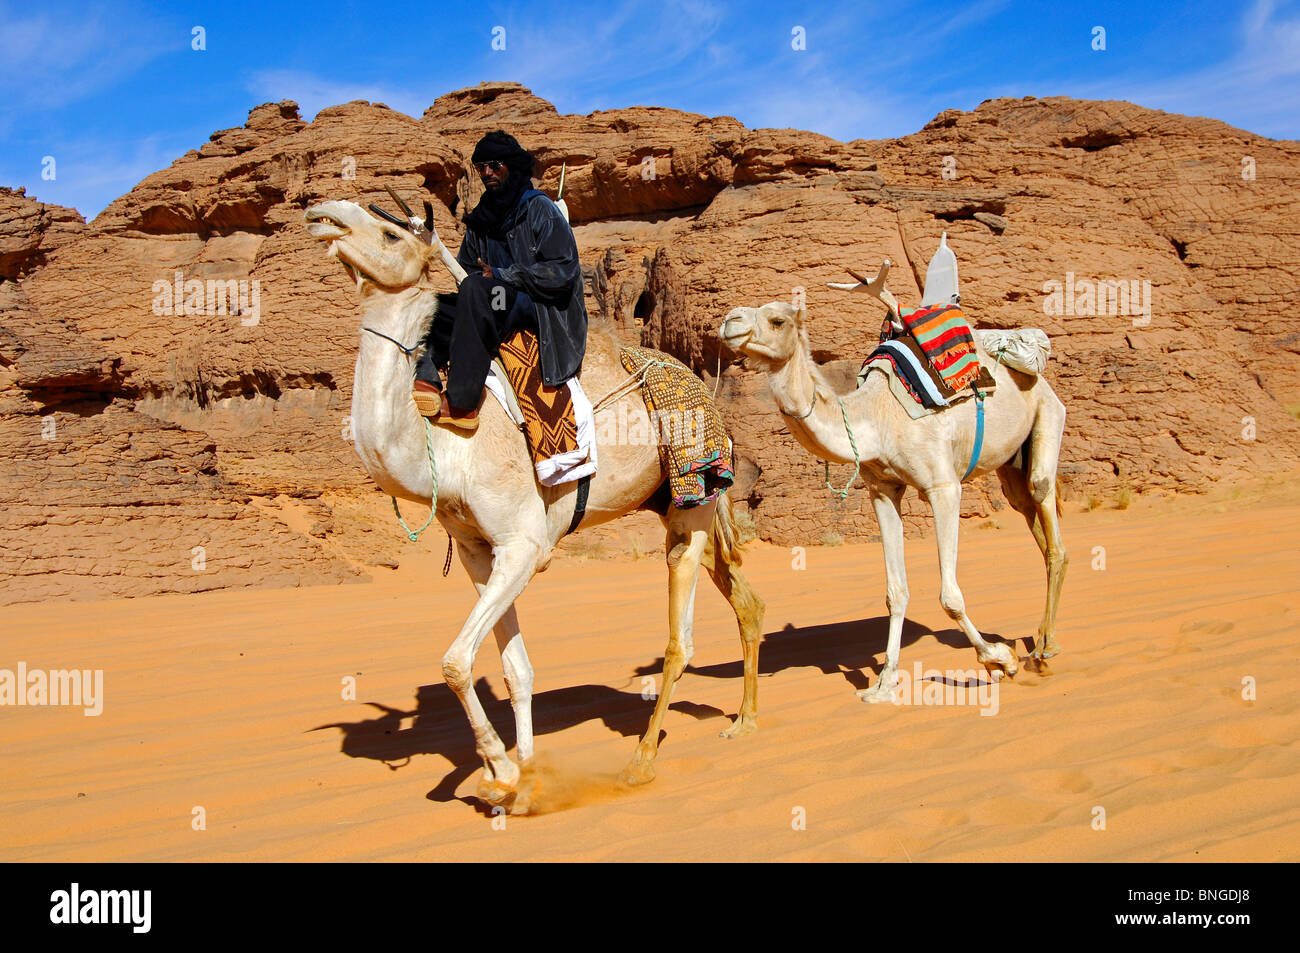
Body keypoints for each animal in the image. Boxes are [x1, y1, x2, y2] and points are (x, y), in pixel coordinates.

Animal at [302, 197, 759, 806]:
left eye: (390, 233)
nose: (322, 213)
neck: (450, 448)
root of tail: (704, 392)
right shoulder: (479, 551)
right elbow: (515, 668)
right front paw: (524, 775)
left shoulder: (524, 544)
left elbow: (455, 661)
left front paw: (501, 772)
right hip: (673, 504)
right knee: (742, 597)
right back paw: (745, 720)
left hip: (695, 493)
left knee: (680, 638)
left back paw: (641, 761)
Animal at [722, 260, 1066, 696]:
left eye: (777, 319)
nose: (729, 321)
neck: (876, 418)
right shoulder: (883, 490)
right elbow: (895, 591)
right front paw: (884, 681)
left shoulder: (943, 486)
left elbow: (950, 596)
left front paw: (999, 660)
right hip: (1010, 462)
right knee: (1029, 512)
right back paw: (1039, 640)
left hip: (1047, 411)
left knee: (1047, 513)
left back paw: (1043, 650)